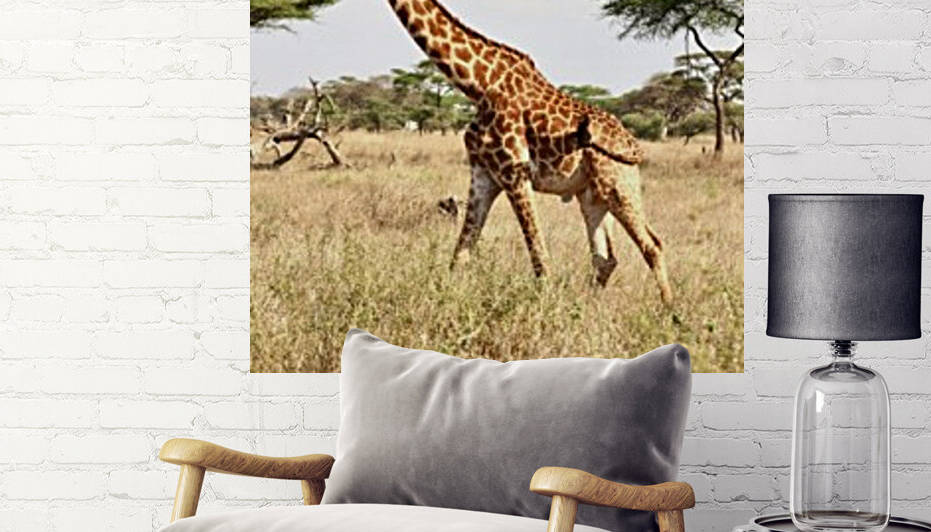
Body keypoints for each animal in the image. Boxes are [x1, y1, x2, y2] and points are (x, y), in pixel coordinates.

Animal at [387, 0, 673, 303]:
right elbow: (461, 254)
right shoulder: (483, 173)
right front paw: (443, 301)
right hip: (591, 195)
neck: (478, 84)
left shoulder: (514, 171)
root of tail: (632, 142)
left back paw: (669, 311)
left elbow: (539, 257)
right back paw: (588, 305)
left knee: (652, 245)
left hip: (618, 183)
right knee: (604, 258)